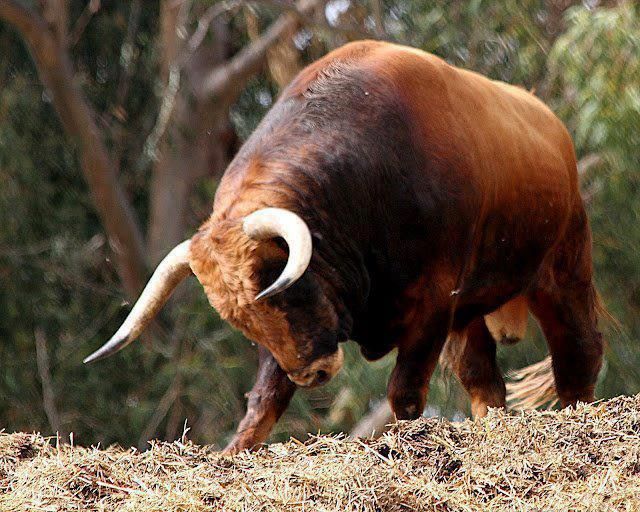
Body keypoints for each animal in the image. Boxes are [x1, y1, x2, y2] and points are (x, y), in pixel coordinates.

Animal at [84, 42, 600, 454]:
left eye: (278, 287)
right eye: (241, 321)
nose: (310, 375)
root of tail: (550, 125)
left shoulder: (434, 304)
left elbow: (404, 393)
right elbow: (263, 402)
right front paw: (232, 453)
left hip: (563, 270)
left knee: (579, 355)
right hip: (473, 311)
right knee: (483, 379)